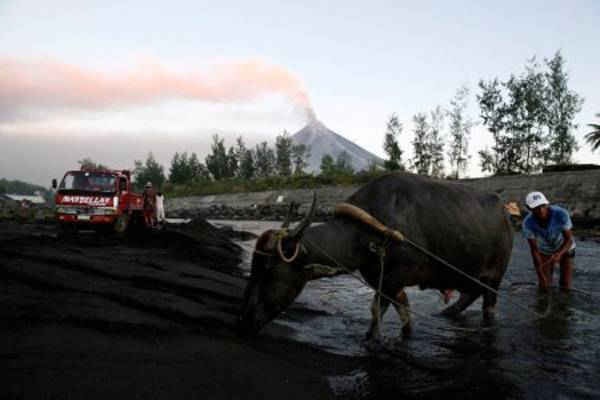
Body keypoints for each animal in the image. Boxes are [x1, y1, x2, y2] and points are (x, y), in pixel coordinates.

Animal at [239, 172, 516, 338]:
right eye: (254, 267)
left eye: (269, 269)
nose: (245, 319)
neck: (368, 232)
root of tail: (504, 211)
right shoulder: (384, 281)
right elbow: (397, 313)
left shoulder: (393, 280)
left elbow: (381, 315)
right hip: (469, 275)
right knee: (469, 294)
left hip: (495, 276)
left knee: (488, 305)